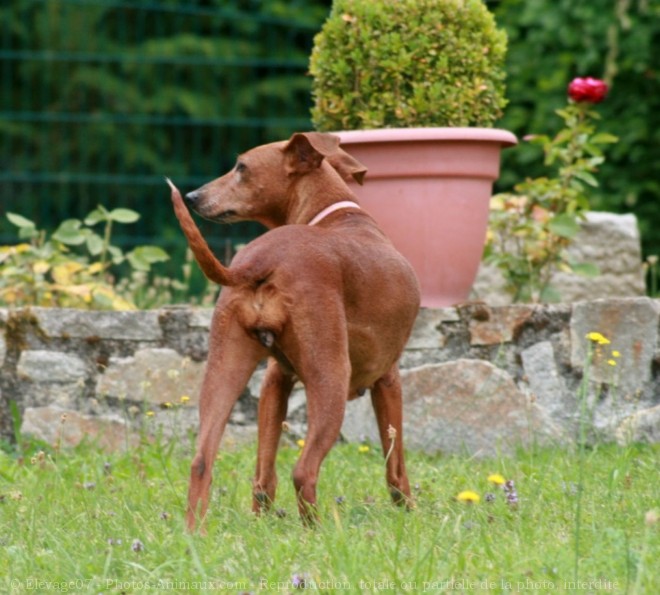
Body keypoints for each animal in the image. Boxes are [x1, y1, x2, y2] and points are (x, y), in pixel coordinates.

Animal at [170, 132, 418, 532]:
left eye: (241, 167)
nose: (193, 196)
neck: (335, 213)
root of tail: (262, 259)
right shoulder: (388, 380)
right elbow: (395, 469)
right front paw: (408, 514)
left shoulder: (276, 380)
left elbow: (263, 474)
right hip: (331, 380)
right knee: (304, 471)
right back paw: (318, 533)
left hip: (224, 370)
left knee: (202, 460)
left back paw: (195, 534)